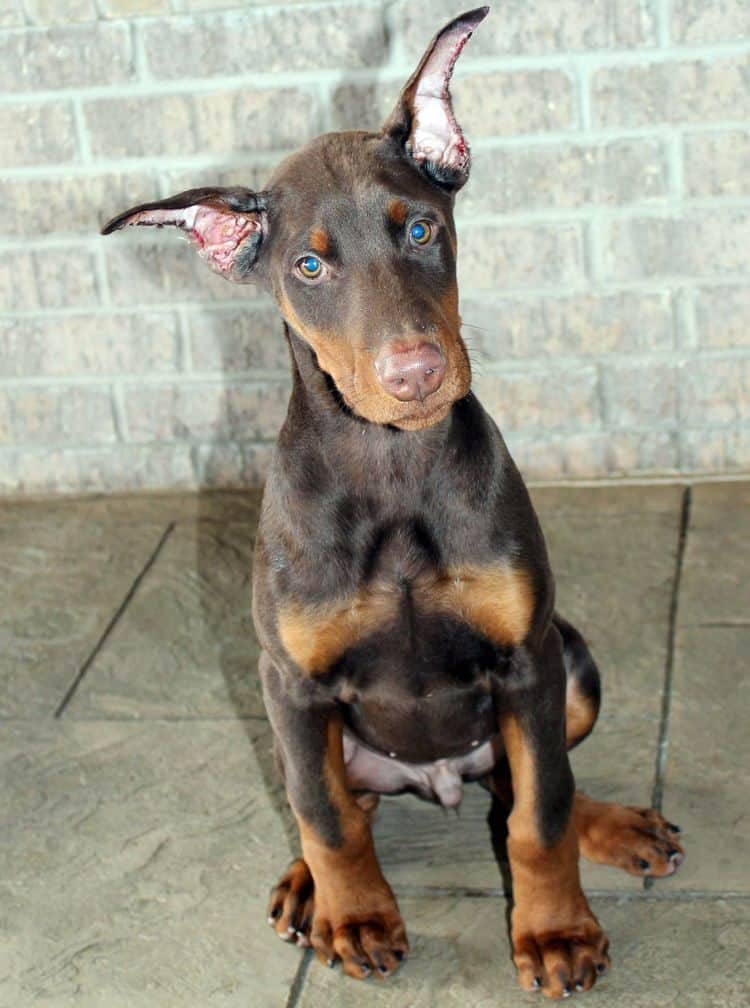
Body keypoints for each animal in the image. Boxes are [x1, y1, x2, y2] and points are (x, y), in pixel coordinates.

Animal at [103, 5, 685, 999]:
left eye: (419, 230)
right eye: (307, 266)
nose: (414, 373)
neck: (392, 465)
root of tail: (436, 780)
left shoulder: (527, 659)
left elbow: (541, 815)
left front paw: (556, 933)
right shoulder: (289, 681)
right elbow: (325, 816)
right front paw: (356, 915)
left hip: (570, 662)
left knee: (523, 786)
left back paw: (614, 825)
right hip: (306, 722)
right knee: (345, 800)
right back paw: (309, 891)